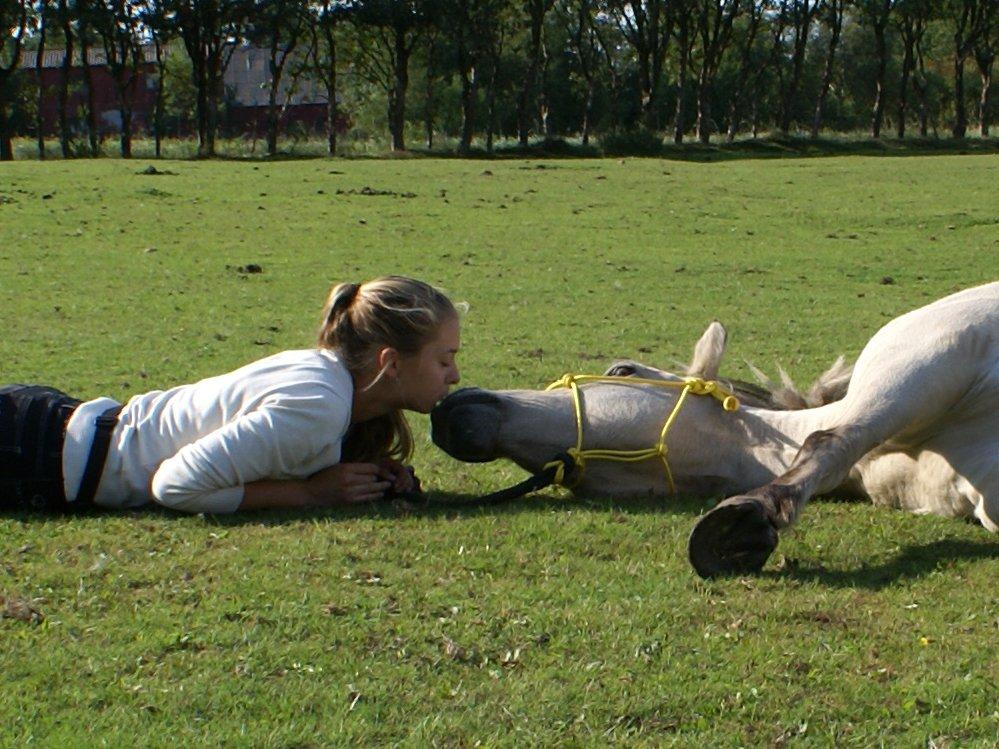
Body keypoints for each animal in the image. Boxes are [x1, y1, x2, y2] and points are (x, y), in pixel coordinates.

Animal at [432, 282, 999, 580]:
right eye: (570, 474)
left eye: (622, 370)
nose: (451, 419)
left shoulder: (918, 360)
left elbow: (829, 439)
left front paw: (749, 518)